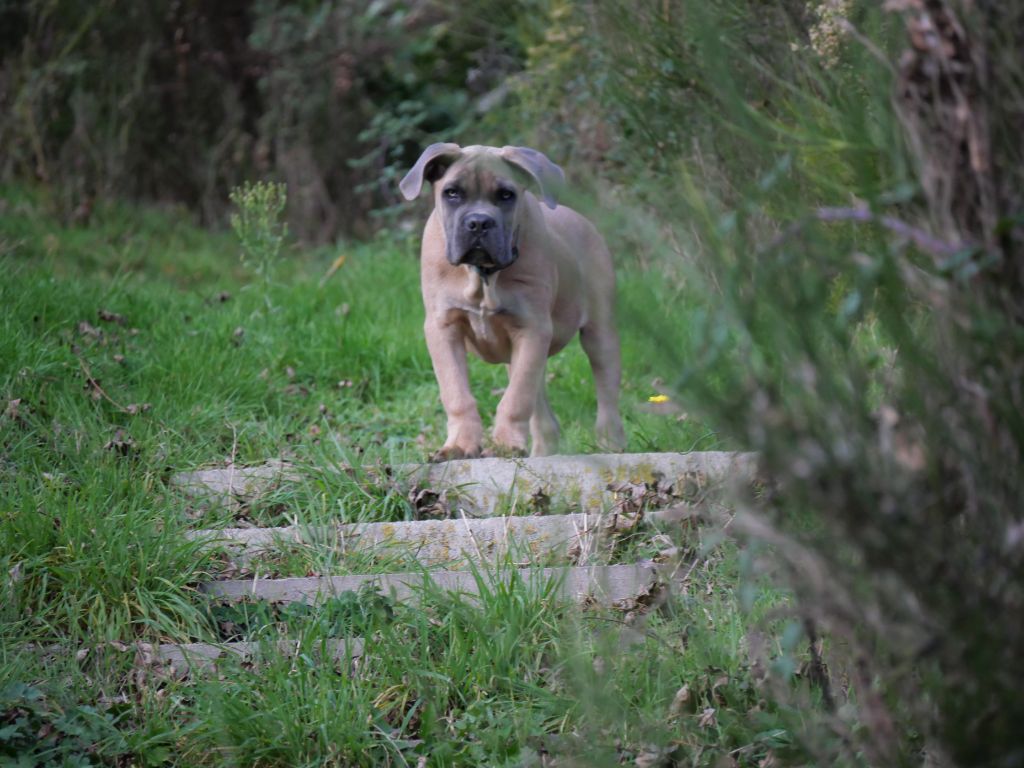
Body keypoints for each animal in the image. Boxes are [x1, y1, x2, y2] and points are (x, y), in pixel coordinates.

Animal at [397, 143, 622, 456]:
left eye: (506, 195)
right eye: (452, 193)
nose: (479, 222)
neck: (483, 276)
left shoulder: (532, 329)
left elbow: (516, 398)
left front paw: (504, 445)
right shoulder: (443, 328)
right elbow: (456, 393)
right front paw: (460, 444)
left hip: (599, 334)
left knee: (606, 395)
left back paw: (611, 444)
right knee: (544, 415)